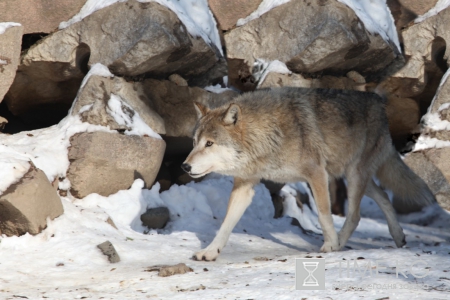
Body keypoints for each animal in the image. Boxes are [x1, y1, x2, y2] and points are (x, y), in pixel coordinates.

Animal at [180, 86, 436, 260]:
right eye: (194, 143)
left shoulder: (316, 174)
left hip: (354, 176)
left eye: (209, 144)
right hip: (352, 176)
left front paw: (330, 245)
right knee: (382, 196)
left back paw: (340, 243)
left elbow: (323, 214)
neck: (268, 136)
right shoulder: (245, 185)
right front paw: (210, 251)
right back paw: (398, 235)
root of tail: (378, 101)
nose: (185, 166)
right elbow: (226, 224)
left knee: (355, 215)